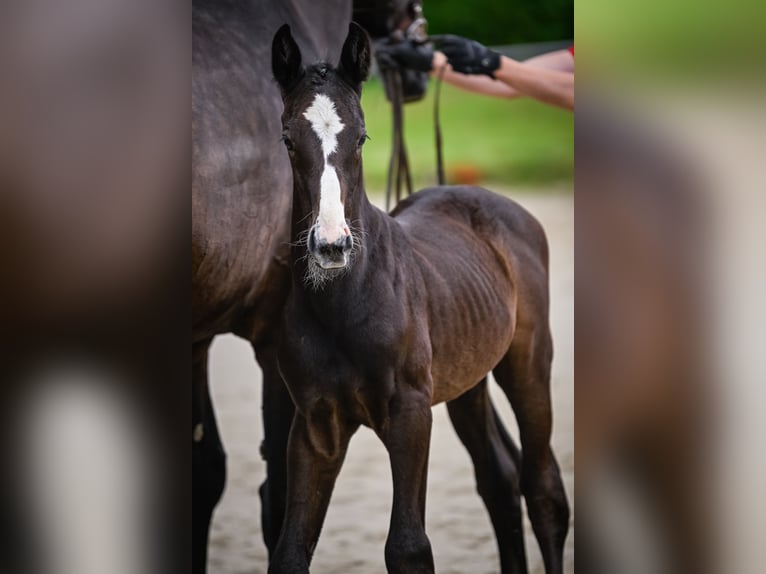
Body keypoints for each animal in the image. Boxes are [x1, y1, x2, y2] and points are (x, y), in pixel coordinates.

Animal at [270, 23, 568, 574]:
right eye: (287, 139)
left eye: (361, 137)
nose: (331, 245)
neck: (344, 304)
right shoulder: (315, 424)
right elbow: (290, 551)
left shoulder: (410, 413)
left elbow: (408, 546)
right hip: (467, 379)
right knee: (500, 479)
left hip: (529, 362)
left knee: (544, 490)